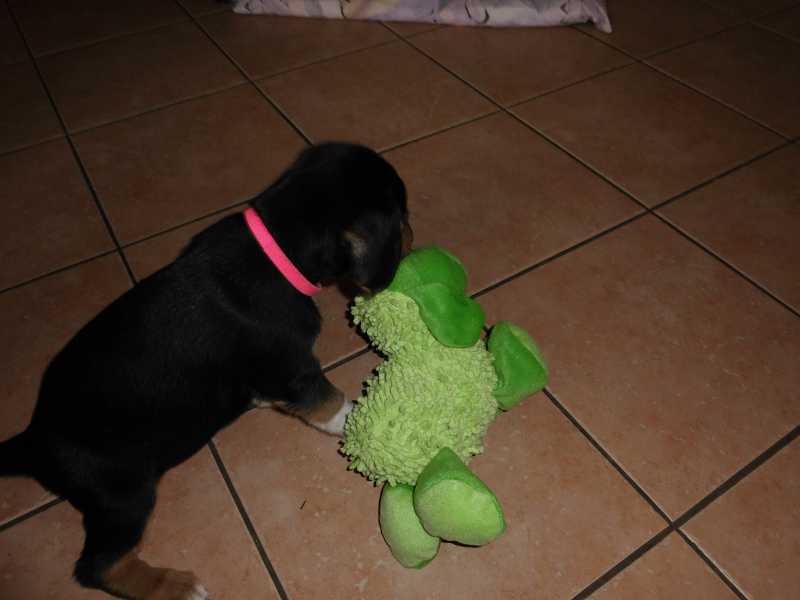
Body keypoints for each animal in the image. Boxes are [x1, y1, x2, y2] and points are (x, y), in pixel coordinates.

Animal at [0, 143, 413, 599]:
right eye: (403, 216)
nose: (415, 241)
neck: (275, 252)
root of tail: (34, 439)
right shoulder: (292, 368)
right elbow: (327, 401)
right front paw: (358, 421)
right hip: (123, 496)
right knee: (97, 568)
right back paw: (174, 585)